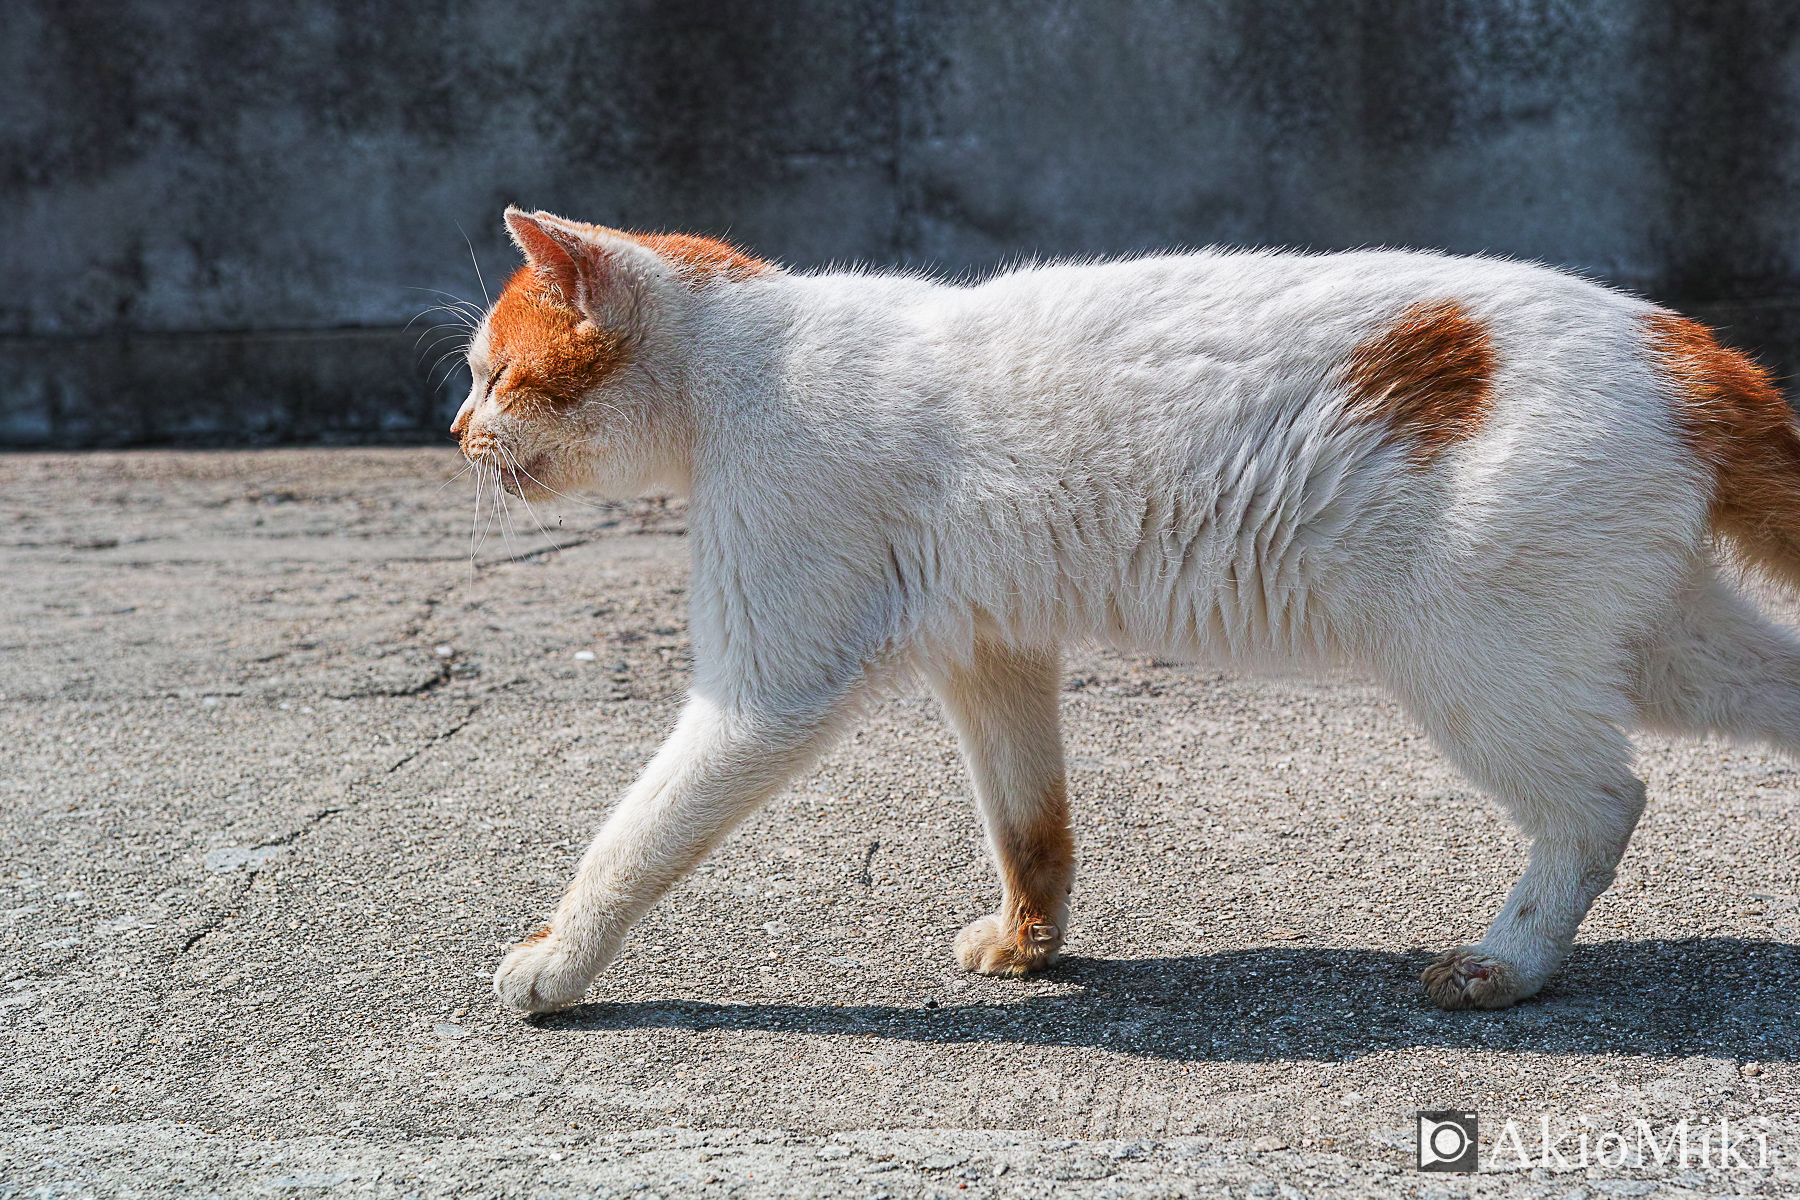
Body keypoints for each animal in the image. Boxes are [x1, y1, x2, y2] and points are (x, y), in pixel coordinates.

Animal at [453, 206, 1800, 1014]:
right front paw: (1030, 943)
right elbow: (1029, 823)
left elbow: (632, 837)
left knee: (1601, 803)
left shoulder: (764, 691)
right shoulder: (994, 654)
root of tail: (1681, 343)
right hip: (1659, 647)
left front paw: (555, 963)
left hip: (1476, 662)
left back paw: (1508, 961)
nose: (460, 432)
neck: (742, 361)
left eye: (498, 373)